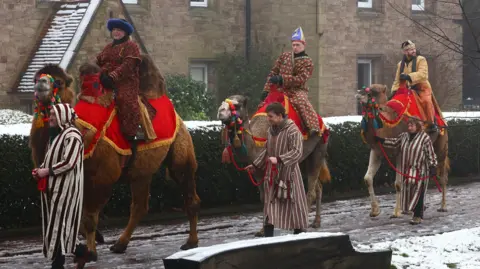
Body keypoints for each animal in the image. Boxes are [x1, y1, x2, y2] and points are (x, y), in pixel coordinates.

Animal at [31, 55, 201, 264]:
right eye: (36, 77)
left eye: (59, 82)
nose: (41, 84)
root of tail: (174, 111)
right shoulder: (80, 178)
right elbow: (77, 216)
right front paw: (94, 241)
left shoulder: (103, 176)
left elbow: (89, 217)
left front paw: (91, 252)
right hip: (141, 172)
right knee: (139, 206)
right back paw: (120, 244)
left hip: (180, 151)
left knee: (188, 192)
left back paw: (191, 243)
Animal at [217, 93, 330, 234]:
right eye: (222, 103)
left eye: (236, 106)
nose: (220, 112)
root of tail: (323, 125)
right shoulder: (257, 172)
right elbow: (263, 198)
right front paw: (262, 230)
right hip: (304, 160)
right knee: (318, 186)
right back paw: (316, 222)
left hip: (319, 149)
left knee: (311, 191)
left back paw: (303, 226)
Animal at [352, 82, 450, 217]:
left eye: (373, 92)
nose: (358, 93)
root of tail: (441, 120)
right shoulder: (376, 151)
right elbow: (368, 179)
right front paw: (375, 211)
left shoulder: (400, 152)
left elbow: (398, 183)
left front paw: (396, 212)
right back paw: (421, 206)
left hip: (441, 148)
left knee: (443, 176)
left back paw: (443, 206)